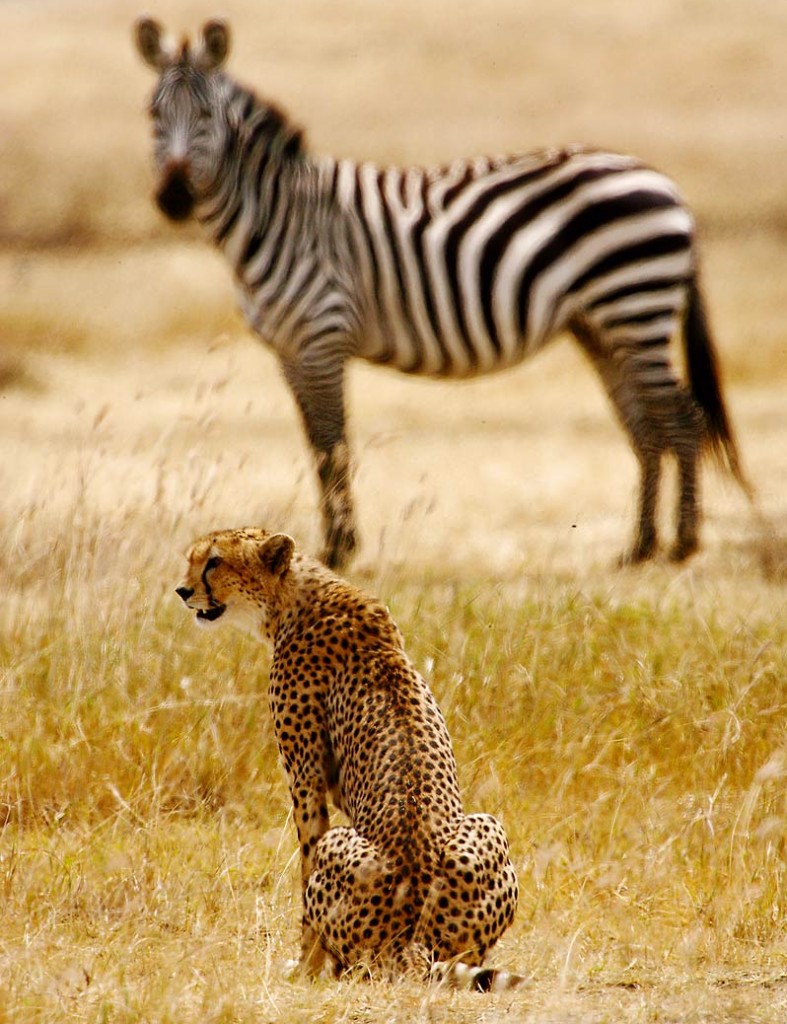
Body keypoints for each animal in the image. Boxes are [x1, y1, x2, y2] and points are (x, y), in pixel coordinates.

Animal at [133, 18, 749, 569]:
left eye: (207, 116)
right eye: (153, 115)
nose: (174, 197)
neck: (280, 215)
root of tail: (663, 182)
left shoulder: (322, 335)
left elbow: (333, 446)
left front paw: (339, 551)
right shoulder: (289, 351)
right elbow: (316, 448)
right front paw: (330, 545)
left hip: (635, 305)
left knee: (684, 419)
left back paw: (682, 546)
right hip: (602, 325)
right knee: (647, 429)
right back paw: (639, 549)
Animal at [178, 524, 521, 987]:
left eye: (214, 562)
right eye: (194, 559)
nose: (183, 590)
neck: (293, 596)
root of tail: (411, 940)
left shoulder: (304, 777)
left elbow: (304, 866)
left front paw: (305, 966)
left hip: (341, 847)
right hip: (489, 827)